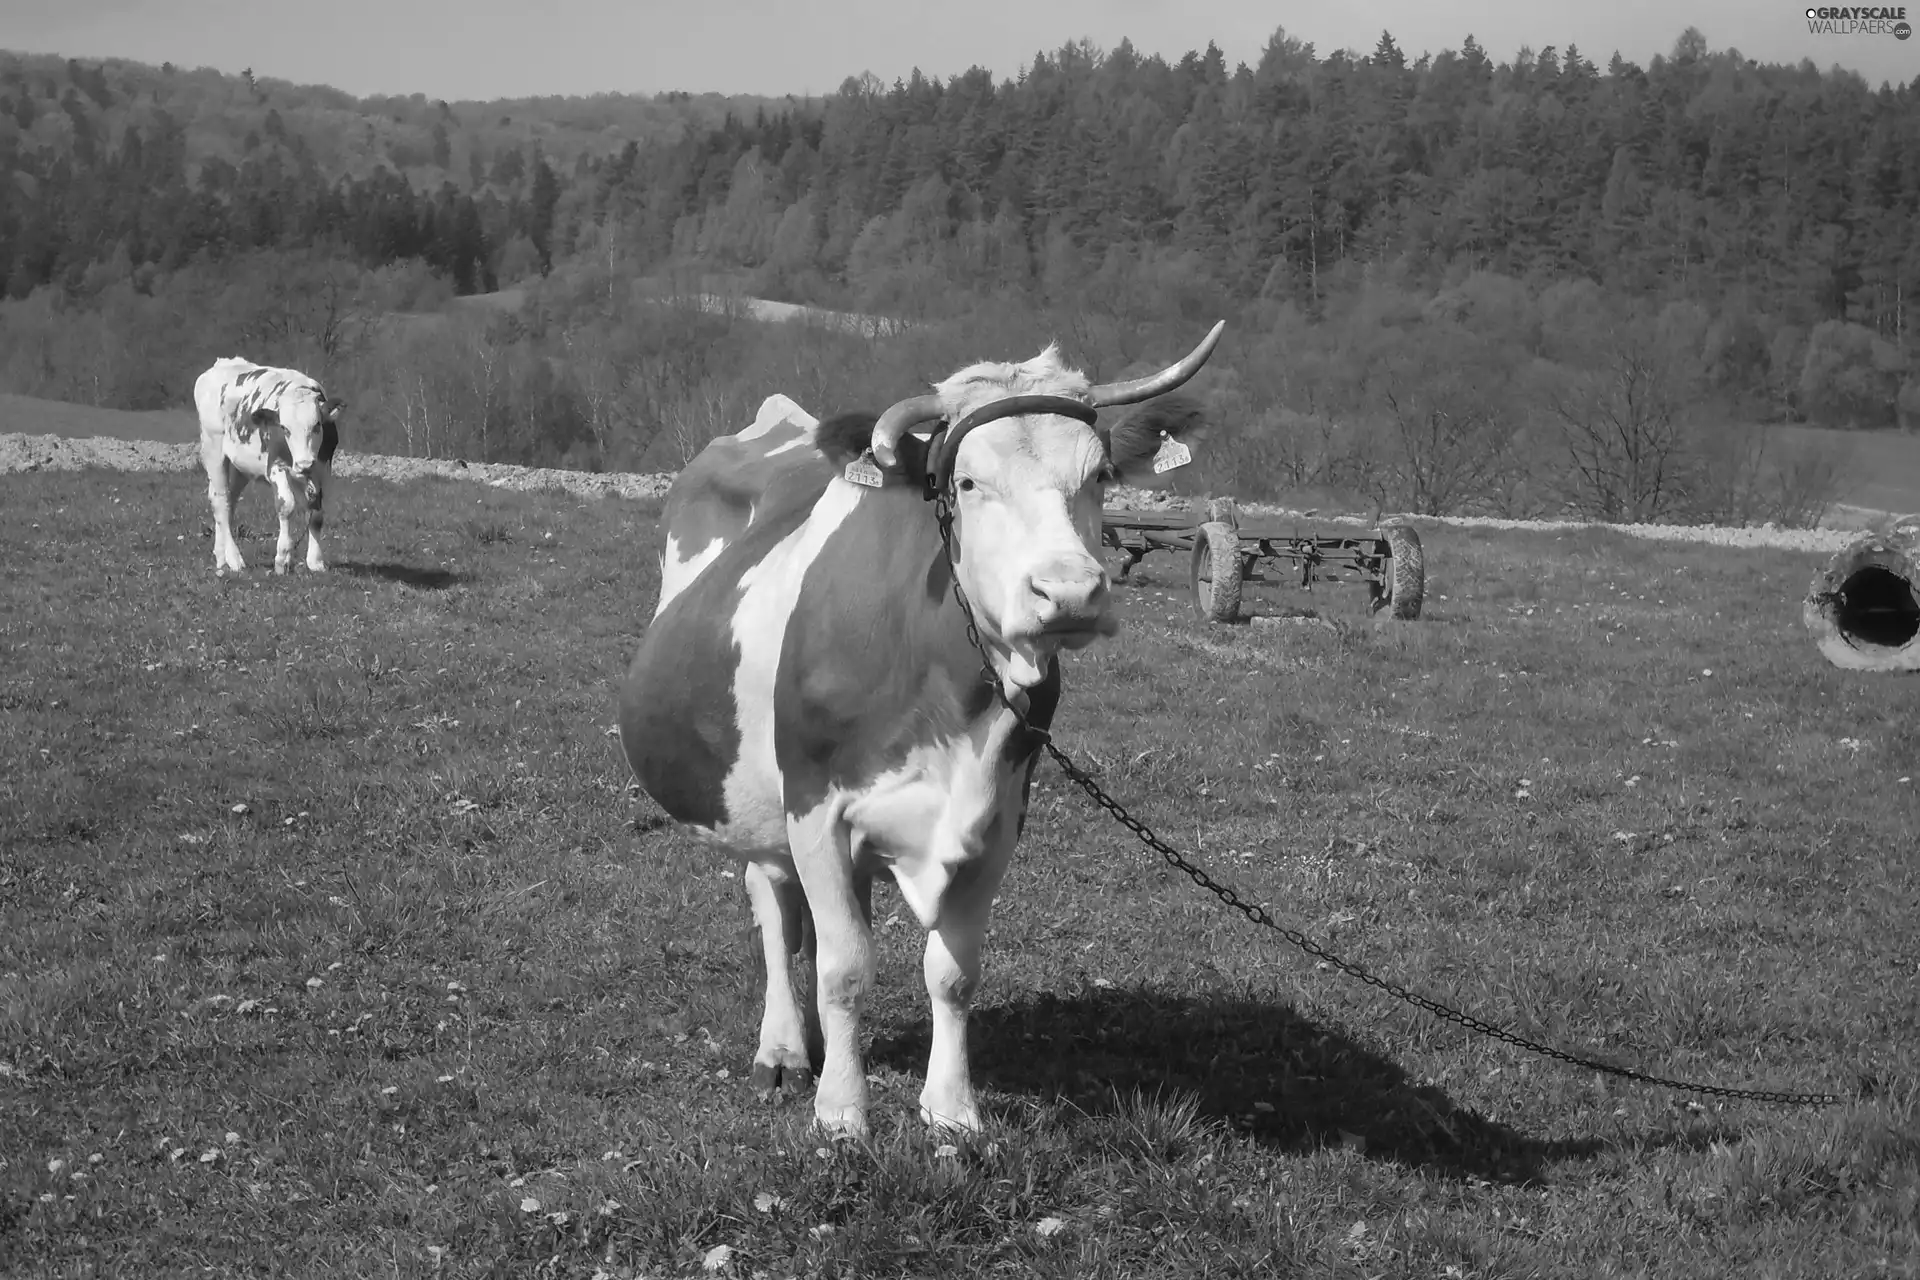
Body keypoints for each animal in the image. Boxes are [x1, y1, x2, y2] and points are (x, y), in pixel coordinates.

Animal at [195, 355, 349, 575]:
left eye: (317, 425)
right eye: (284, 428)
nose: (304, 464)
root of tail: (223, 363)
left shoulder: (322, 469)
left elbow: (317, 514)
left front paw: (315, 561)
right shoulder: (276, 466)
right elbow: (286, 505)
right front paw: (282, 558)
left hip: (241, 467)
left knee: (229, 501)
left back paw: (221, 556)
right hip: (213, 450)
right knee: (221, 501)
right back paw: (234, 559)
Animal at [622, 322, 1221, 1143]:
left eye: (1099, 474)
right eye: (964, 483)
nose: (1070, 592)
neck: (955, 700)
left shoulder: (998, 819)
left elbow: (953, 973)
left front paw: (951, 1111)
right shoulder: (815, 807)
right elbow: (845, 968)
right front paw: (842, 1113)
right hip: (755, 799)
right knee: (776, 912)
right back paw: (784, 1049)